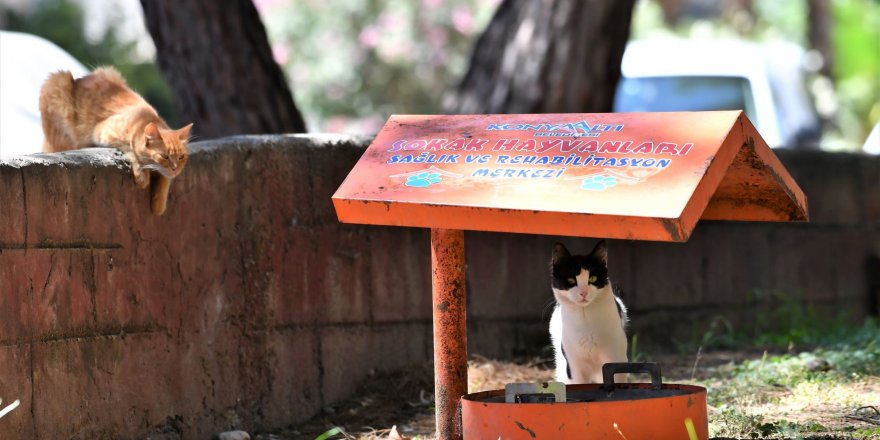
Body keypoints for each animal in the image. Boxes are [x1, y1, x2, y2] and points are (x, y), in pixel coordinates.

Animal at [39, 66, 192, 216]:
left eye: (181, 157)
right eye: (164, 156)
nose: (175, 169)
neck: (144, 119)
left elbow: (166, 179)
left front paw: (159, 204)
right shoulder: (103, 132)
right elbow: (132, 152)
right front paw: (142, 176)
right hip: (57, 83)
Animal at [548, 239, 628, 384]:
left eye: (592, 278)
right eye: (571, 280)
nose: (583, 292)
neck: (585, 319)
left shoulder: (617, 358)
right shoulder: (574, 367)